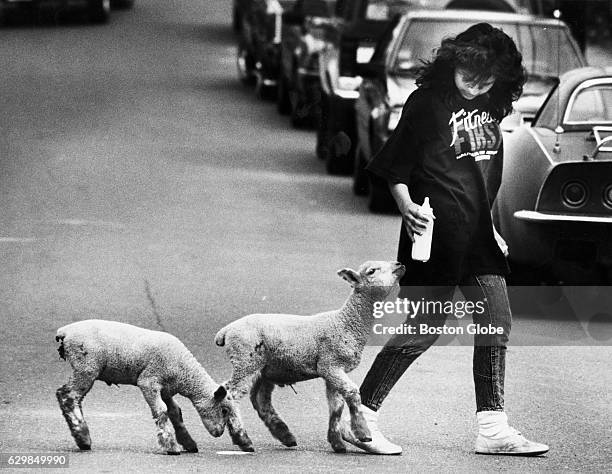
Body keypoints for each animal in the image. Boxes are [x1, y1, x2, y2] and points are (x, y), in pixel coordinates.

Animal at [53, 320, 252, 454]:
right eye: (224, 410)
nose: (219, 433)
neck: (185, 373)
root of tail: (65, 332)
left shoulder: (166, 389)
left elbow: (175, 412)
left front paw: (188, 442)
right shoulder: (149, 381)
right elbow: (161, 411)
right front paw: (171, 446)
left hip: (85, 368)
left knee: (66, 394)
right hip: (87, 367)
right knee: (68, 396)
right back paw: (83, 437)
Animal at [215, 262, 406, 454]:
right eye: (372, 271)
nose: (399, 264)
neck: (345, 322)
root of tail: (225, 331)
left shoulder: (332, 370)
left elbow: (336, 406)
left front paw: (337, 443)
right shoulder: (330, 364)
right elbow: (352, 392)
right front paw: (362, 433)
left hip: (264, 368)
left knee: (260, 399)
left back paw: (285, 436)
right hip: (246, 360)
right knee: (231, 395)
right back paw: (243, 439)